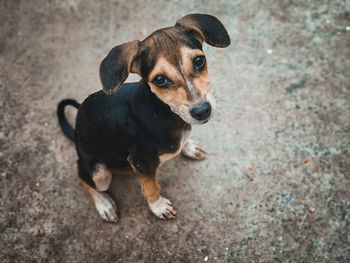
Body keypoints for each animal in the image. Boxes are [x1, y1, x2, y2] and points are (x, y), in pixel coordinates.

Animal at [56, 13, 230, 222]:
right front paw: (159, 207)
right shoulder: (142, 162)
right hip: (99, 173)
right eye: (159, 79)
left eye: (199, 61)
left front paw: (189, 147)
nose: (203, 111)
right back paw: (104, 204)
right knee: (84, 180)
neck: (161, 111)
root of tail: (75, 135)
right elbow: (151, 188)